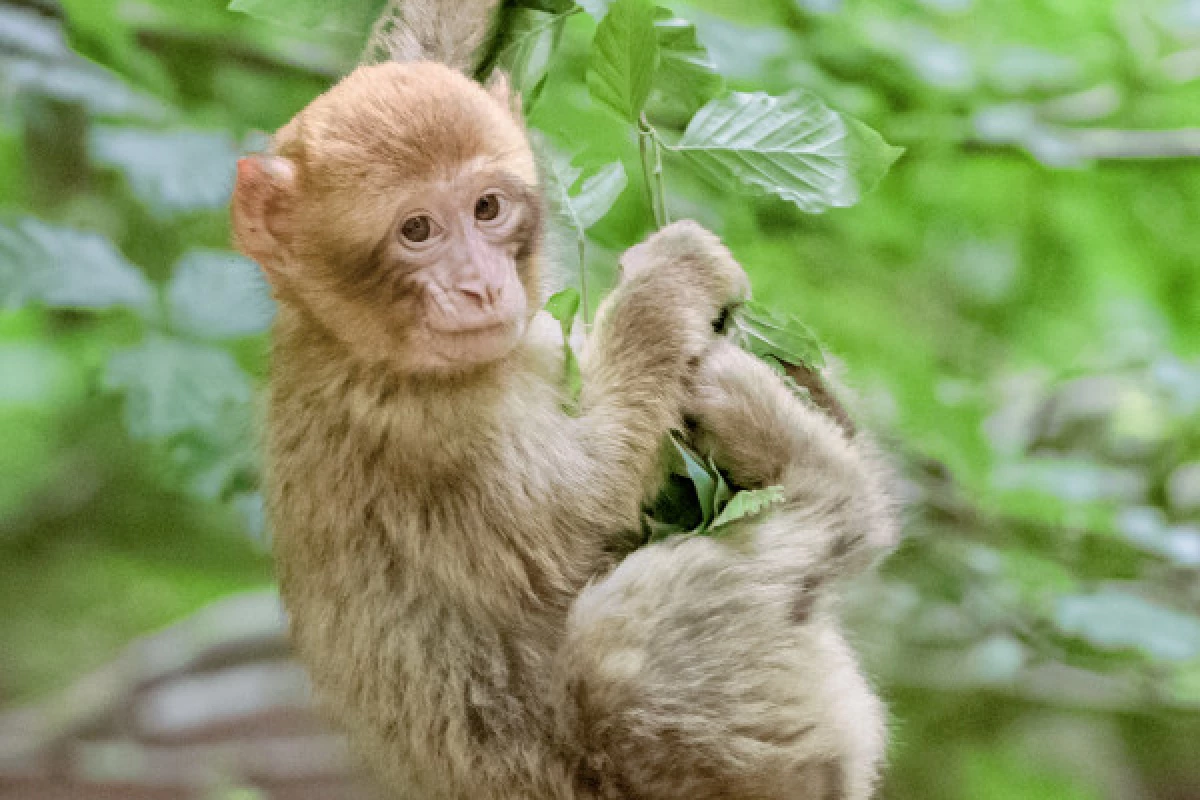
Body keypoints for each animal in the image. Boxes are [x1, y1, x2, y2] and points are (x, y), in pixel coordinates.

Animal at [229, 3, 897, 796]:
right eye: (417, 229)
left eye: (487, 208)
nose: (479, 287)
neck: (349, 340)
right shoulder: (428, 429)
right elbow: (580, 509)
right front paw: (665, 287)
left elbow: (417, 55)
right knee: (616, 654)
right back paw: (830, 482)